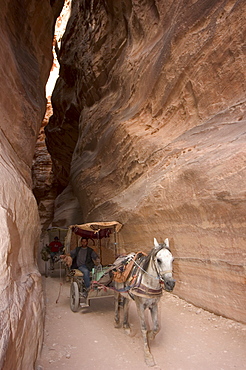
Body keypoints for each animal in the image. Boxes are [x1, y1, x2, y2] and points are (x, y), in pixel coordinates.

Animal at [113, 238, 175, 366]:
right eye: (159, 260)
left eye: (172, 259)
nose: (170, 284)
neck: (148, 282)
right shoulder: (140, 306)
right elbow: (143, 328)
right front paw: (148, 355)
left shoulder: (154, 305)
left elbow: (156, 327)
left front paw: (151, 336)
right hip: (117, 290)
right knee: (116, 302)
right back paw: (116, 321)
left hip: (127, 294)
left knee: (125, 305)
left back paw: (126, 326)